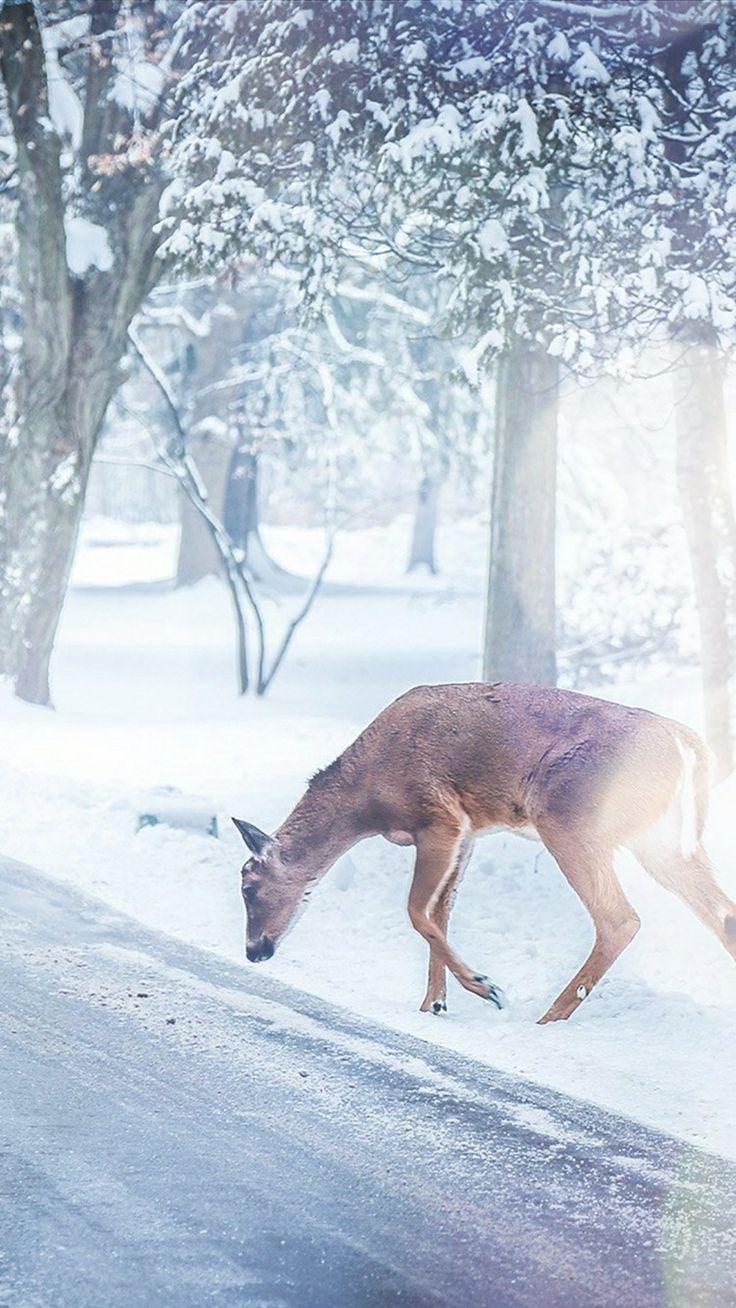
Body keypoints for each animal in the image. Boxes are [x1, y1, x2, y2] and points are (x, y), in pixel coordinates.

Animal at [232, 682, 736, 1023]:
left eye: (249, 886)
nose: (254, 951)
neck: (367, 799)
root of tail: (689, 746)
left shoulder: (440, 817)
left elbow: (417, 911)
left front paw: (485, 987)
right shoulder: (468, 833)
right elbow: (440, 913)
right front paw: (433, 1003)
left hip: (571, 818)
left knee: (619, 919)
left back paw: (547, 1017)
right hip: (663, 841)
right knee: (722, 914)